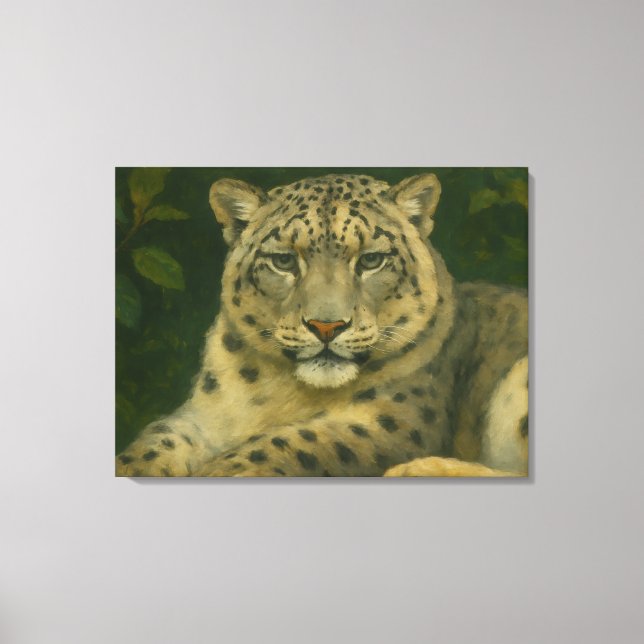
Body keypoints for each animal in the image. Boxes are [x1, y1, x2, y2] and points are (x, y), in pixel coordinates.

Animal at [115, 172, 528, 477]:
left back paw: (418, 469)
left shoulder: (390, 421)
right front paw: (133, 466)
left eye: (371, 260)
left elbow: (289, 443)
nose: (326, 326)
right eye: (283, 260)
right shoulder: (203, 415)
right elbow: (157, 440)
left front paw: (218, 471)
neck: (279, 390)